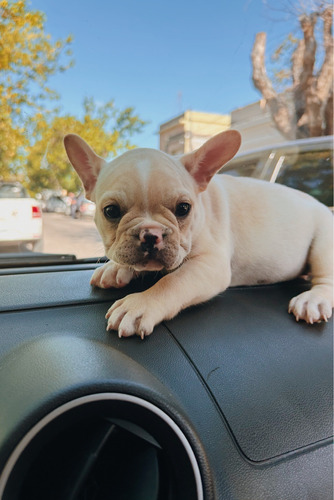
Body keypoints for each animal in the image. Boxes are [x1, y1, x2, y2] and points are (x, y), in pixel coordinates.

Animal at [64, 131, 332, 338]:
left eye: (183, 208)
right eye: (111, 211)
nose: (150, 234)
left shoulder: (211, 265)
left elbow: (172, 282)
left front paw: (140, 304)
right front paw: (115, 268)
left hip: (324, 243)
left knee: (326, 279)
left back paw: (313, 300)